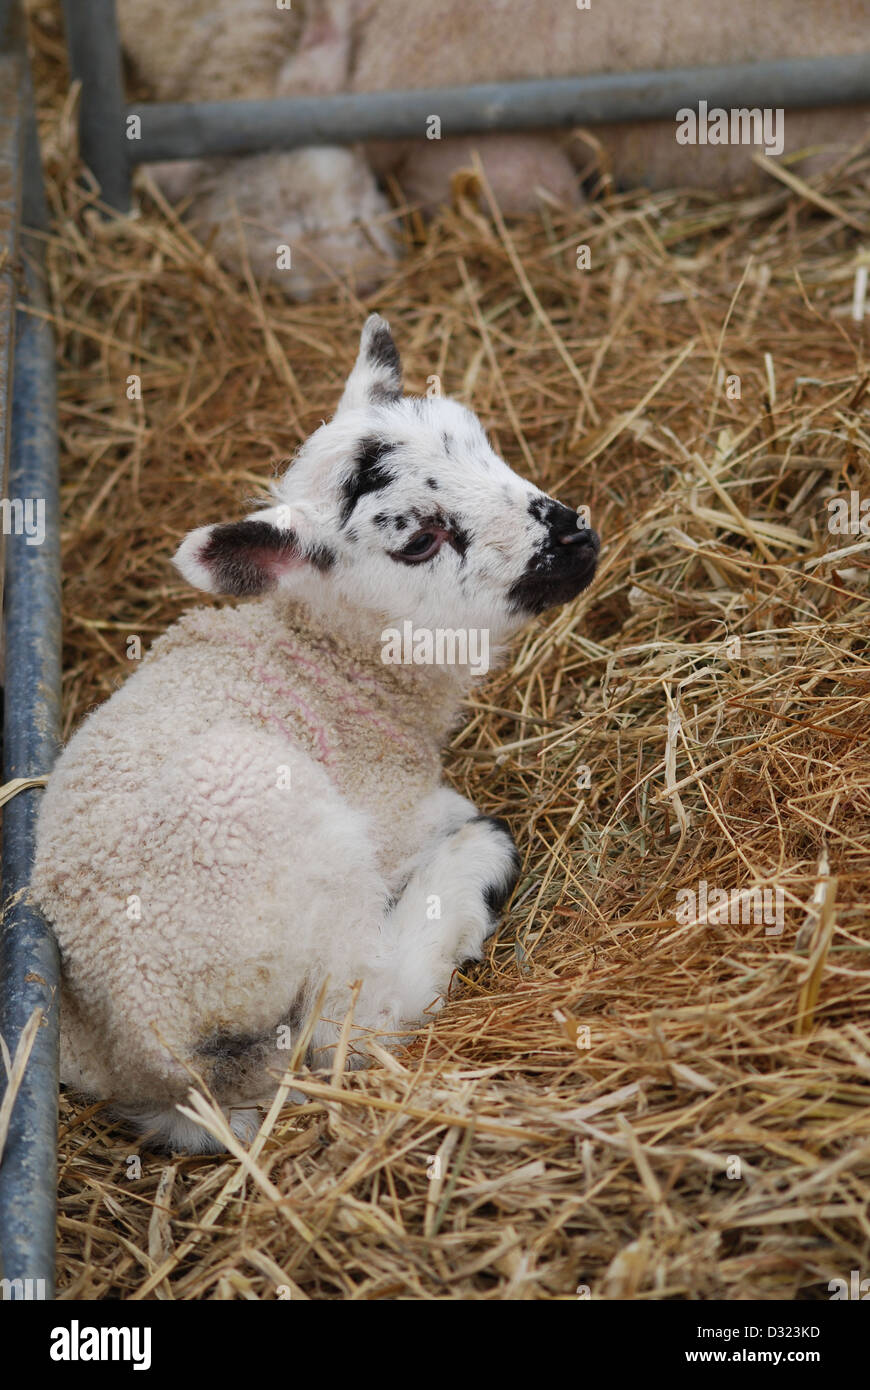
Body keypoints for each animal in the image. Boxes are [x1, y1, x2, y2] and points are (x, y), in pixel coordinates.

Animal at [28, 315, 594, 1150]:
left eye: (480, 443)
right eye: (419, 541)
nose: (577, 541)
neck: (333, 664)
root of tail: (157, 1044)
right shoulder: (388, 814)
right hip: (288, 833)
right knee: (350, 1022)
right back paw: (475, 863)